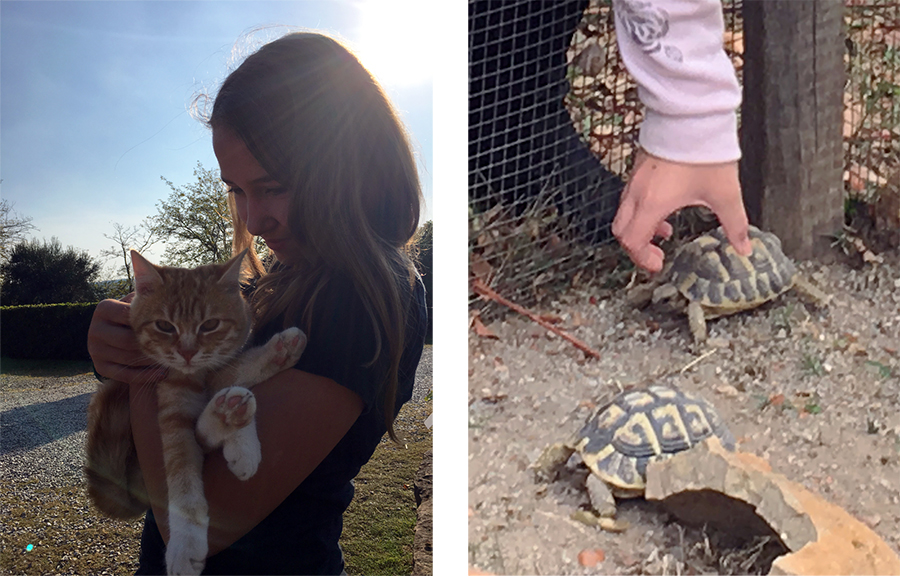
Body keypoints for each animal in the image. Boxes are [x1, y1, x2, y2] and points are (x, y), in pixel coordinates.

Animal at [86, 250, 308, 572]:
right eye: (165, 326)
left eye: (210, 324)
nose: (188, 353)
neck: (196, 375)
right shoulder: (172, 410)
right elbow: (183, 480)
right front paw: (186, 544)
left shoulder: (218, 367)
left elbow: (235, 371)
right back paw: (226, 413)